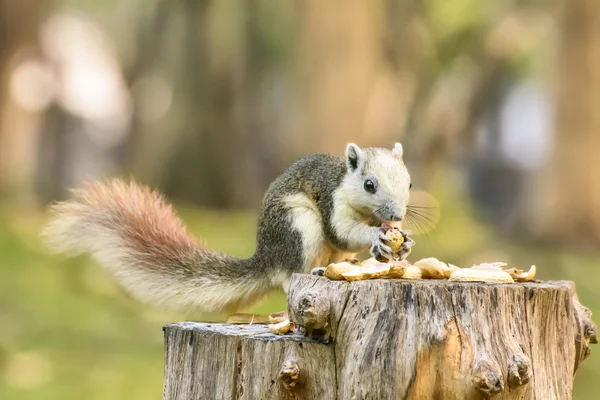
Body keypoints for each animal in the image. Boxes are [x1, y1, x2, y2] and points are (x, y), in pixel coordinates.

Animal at [42, 142, 412, 314]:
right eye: (369, 184)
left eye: (408, 183)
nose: (397, 213)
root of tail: (266, 258)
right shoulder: (331, 202)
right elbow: (342, 232)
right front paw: (376, 238)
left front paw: (402, 242)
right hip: (297, 227)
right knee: (290, 274)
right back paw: (315, 271)